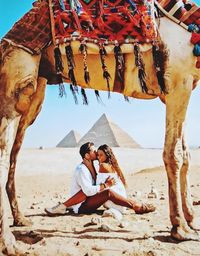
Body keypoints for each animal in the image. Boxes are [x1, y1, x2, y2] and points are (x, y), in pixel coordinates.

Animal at [0, 0, 199, 255]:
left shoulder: (179, 89)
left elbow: (186, 155)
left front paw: (192, 220)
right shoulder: (177, 82)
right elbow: (173, 155)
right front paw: (180, 229)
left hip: (35, 93)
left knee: (15, 152)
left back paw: (21, 220)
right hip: (17, 75)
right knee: (4, 152)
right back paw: (9, 242)